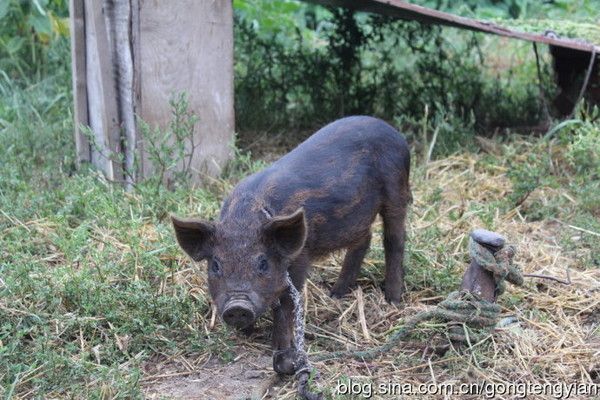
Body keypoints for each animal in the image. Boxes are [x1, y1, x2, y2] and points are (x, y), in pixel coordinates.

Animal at [171, 115, 410, 376]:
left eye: (263, 263)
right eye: (215, 265)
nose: (237, 305)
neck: (244, 219)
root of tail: (393, 132)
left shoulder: (299, 259)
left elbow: (286, 304)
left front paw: (279, 349)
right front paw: (246, 333)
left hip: (396, 190)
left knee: (394, 239)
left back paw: (392, 299)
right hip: (356, 219)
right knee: (364, 240)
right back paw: (335, 294)